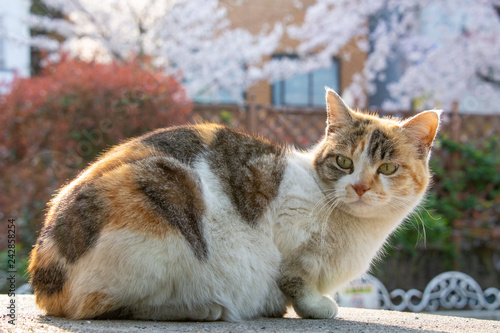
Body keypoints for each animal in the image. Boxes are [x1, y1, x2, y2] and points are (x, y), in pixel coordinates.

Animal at [29, 87, 440, 320]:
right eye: (344, 162)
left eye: (387, 168)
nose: (360, 188)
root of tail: (44, 274)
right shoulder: (287, 239)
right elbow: (297, 280)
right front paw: (317, 306)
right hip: (163, 199)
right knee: (103, 307)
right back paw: (205, 309)